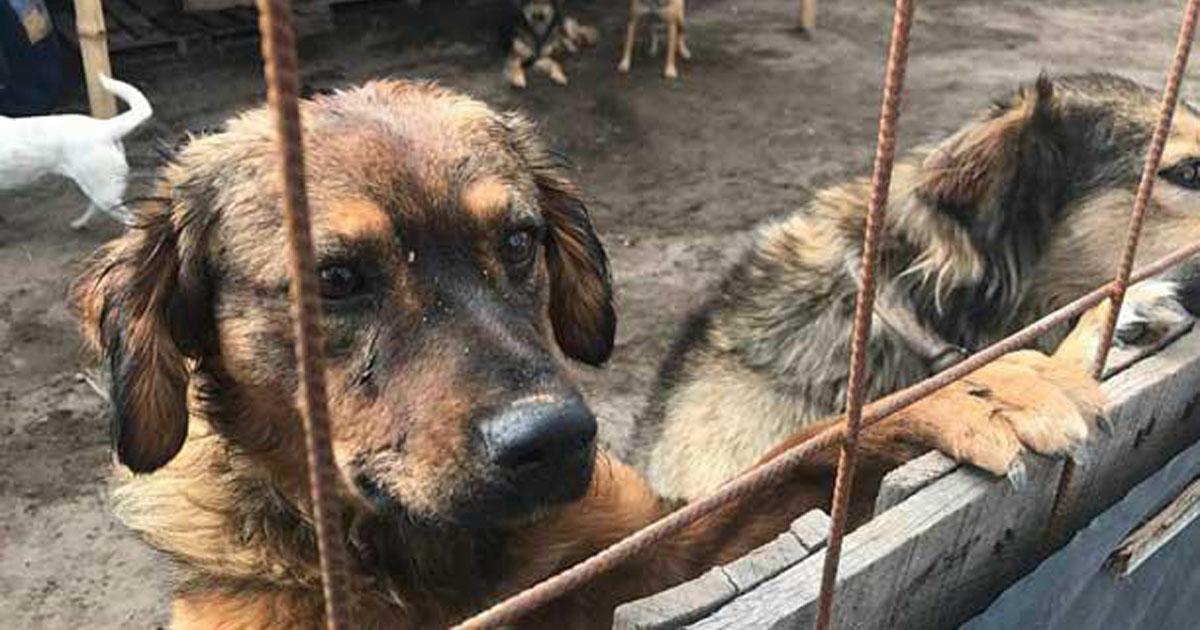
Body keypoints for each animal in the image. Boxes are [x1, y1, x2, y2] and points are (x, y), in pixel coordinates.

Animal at [0, 74, 152, 228]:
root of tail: (104, 127)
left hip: (104, 194)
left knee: (130, 218)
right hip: (99, 188)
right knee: (96, 205)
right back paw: (80, 223)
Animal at [72, 81, 1104, 624]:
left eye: (521, 240)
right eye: (336, 279)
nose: (554, 442)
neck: (430, 557)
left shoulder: (638, 559)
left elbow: (794, 458)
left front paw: (973, 389)